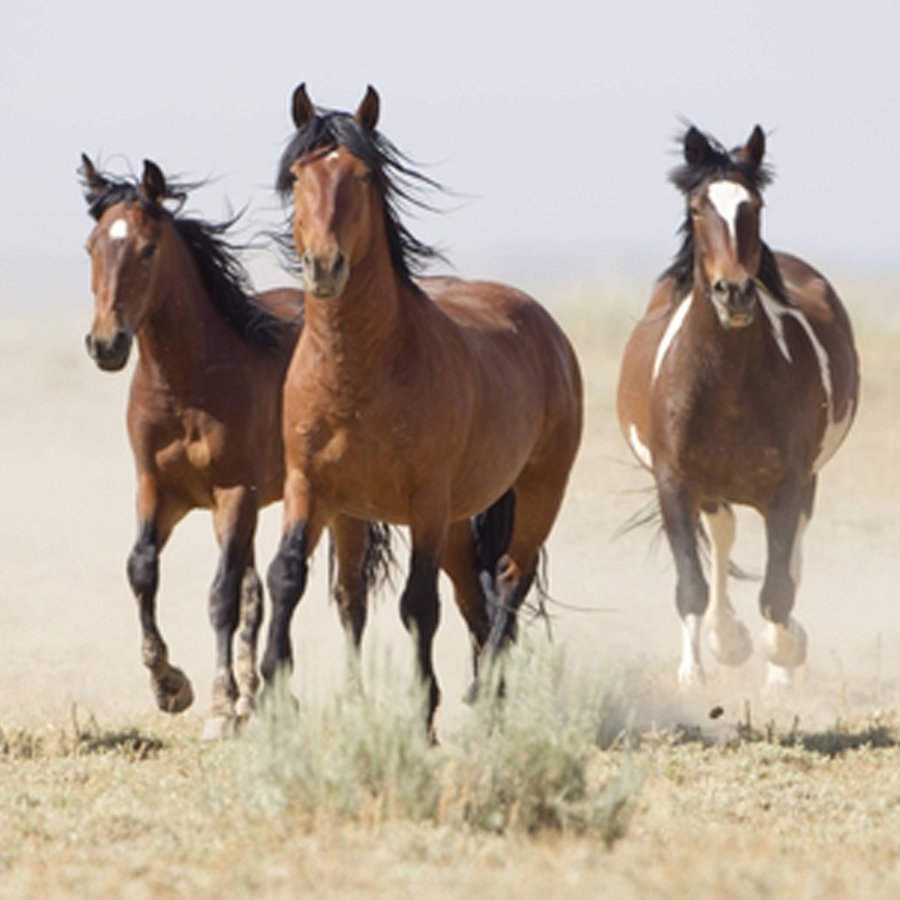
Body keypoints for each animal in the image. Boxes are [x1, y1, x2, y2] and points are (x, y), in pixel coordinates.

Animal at [83, 158, 390, 740]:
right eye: (92, 245)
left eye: (148, 249)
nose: (106, 344)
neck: (186, 385)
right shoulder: (161, 492)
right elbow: (142, 571)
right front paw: (170, 686)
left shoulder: (233, 492)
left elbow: (221, 596)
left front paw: (220, 708)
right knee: (259, 593)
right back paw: (257, 698)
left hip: (336, 510)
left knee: (348, 599)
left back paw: (345, 701)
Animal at [260, 86, 584, 732]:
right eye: (298, 175)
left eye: (363, 176)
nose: (325, 266)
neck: (360, 371)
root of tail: (545, 327)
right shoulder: (313, 488)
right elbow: (297, 580)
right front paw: (280, 695)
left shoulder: (426, 502)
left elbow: (417, 605)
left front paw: (421, 711)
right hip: (453, 521)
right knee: (467, 598)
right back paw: (486, 698)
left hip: (536, 492)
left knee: (508, 580)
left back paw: (484, 698)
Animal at [620, 125, 856, 688]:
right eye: (697, 207)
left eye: (756, 205)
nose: (734, 293)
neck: (725, 385)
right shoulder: (675, 484)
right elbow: (693, 584)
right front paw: (702, 666)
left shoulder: (788, 485)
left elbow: (777, 591)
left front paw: (784, 655)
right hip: (713, 492)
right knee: (723, 539)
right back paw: (724, 640)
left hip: (802, 483)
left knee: (790, 561)